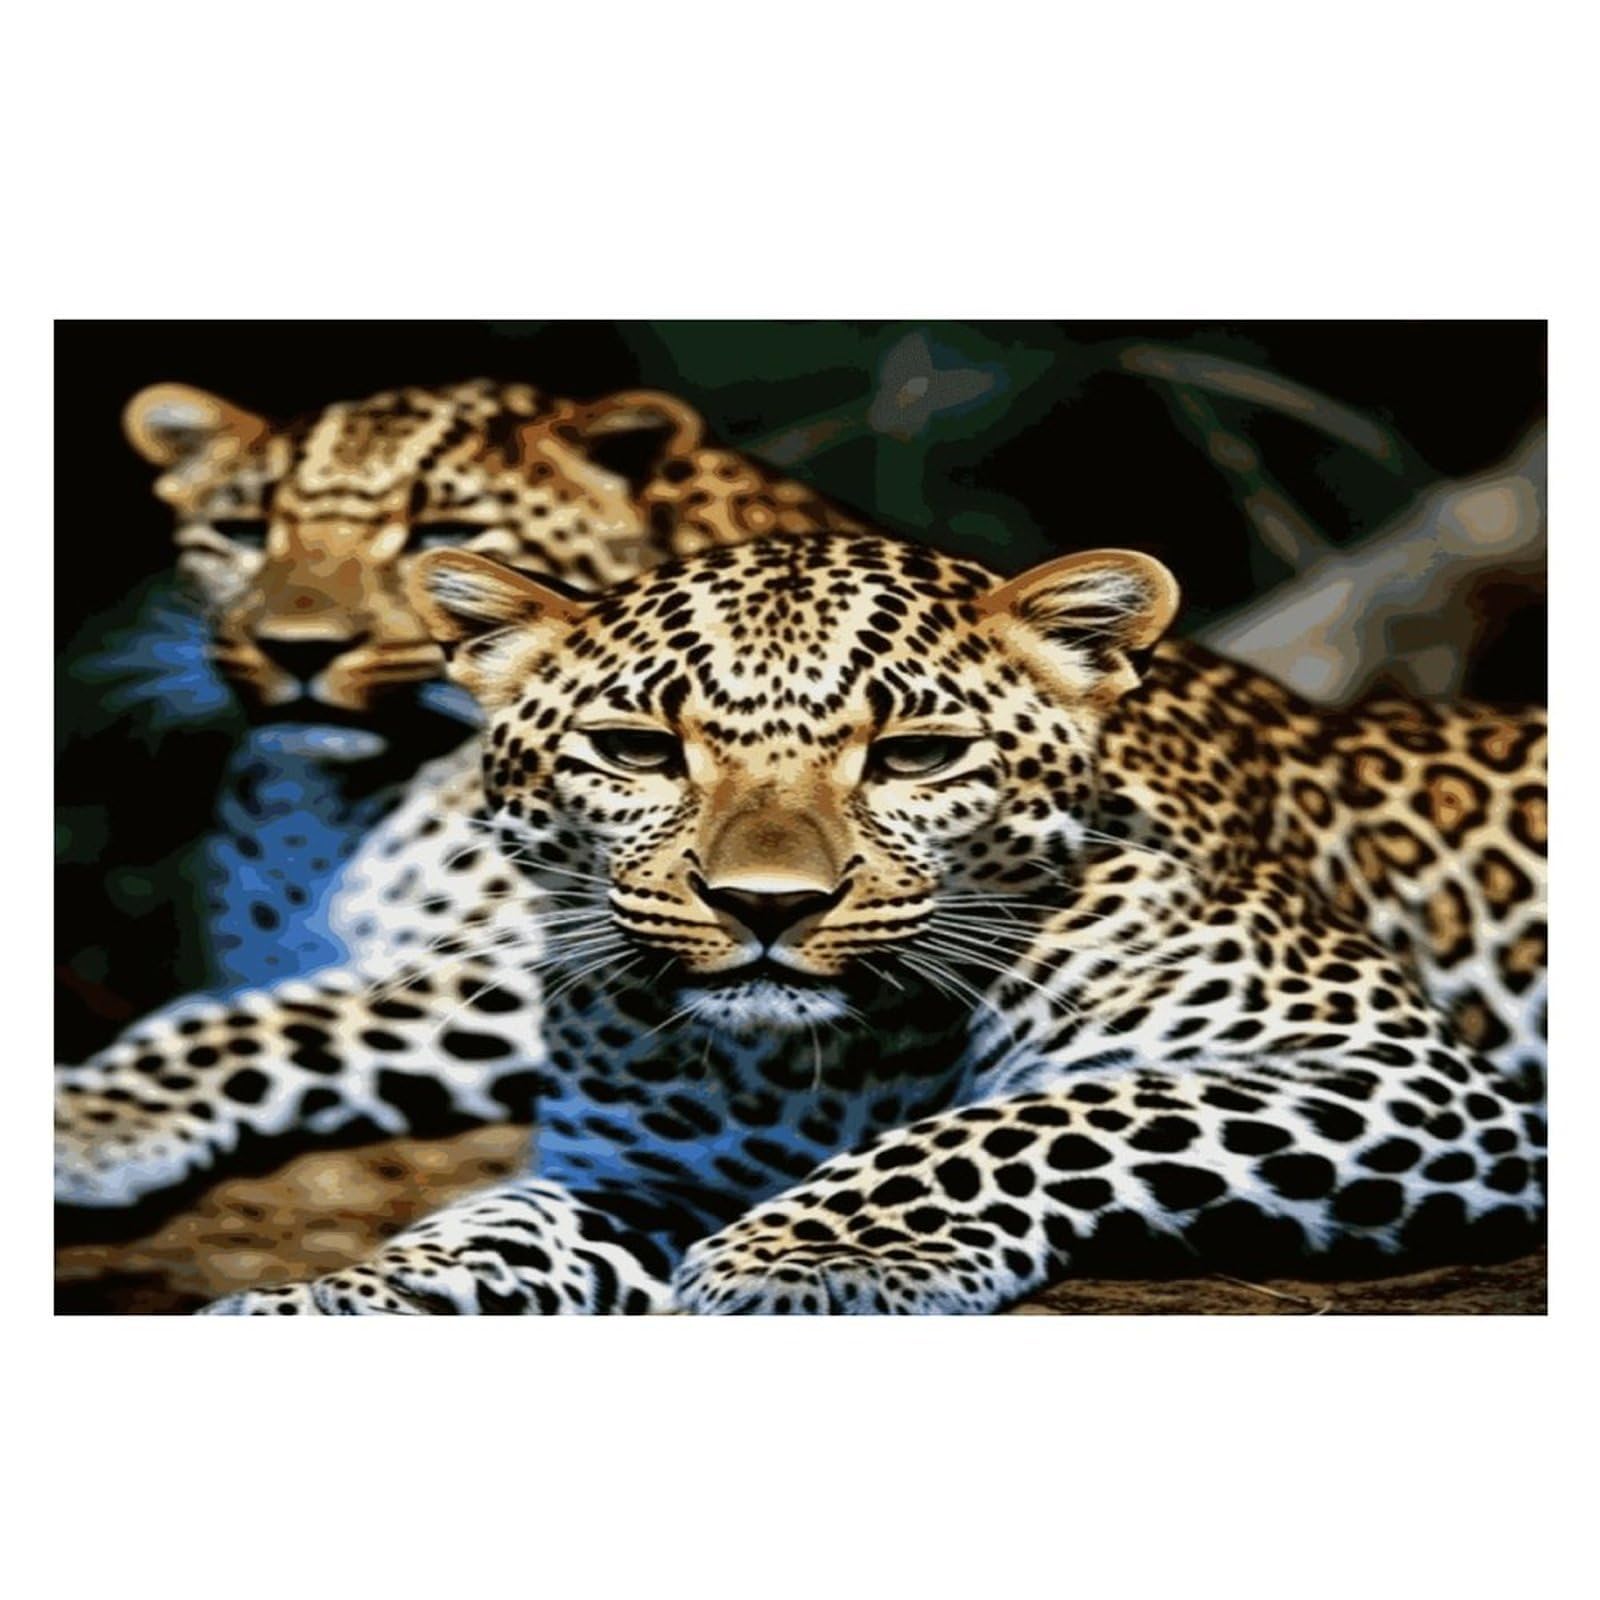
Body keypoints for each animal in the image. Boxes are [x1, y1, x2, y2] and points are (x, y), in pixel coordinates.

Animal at [55, 529, 1546, 1313]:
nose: (766, 908)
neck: (826, 1064)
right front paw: (338, 1298)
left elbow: (1044, 1114)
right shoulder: (636, 1164)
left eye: (918, 755)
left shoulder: (1403, 1072)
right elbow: (491, 1227)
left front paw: (818, 1251)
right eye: (637, 749)